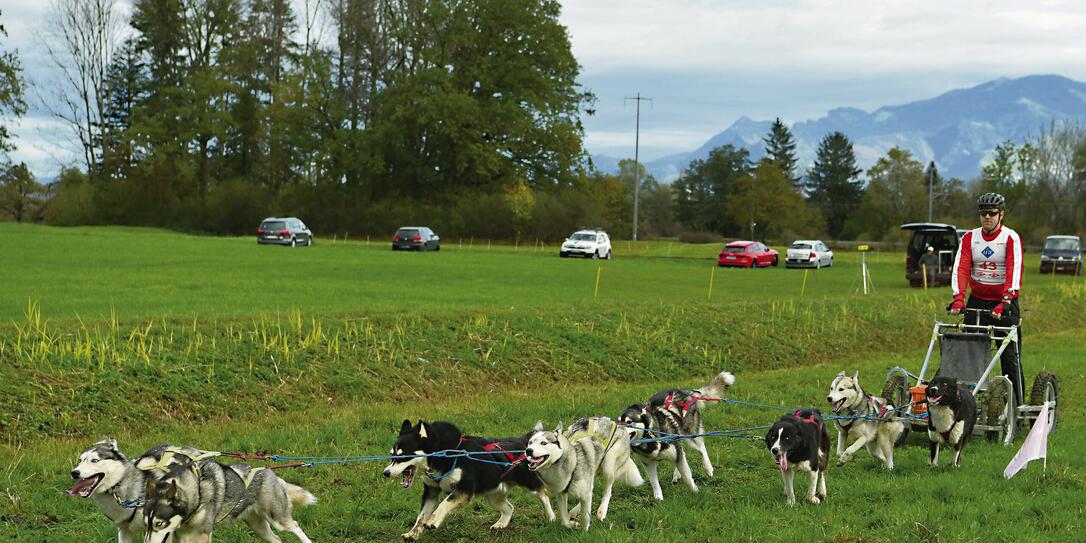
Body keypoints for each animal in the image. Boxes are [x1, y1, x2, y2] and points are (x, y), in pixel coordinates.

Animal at [70, 438, 211, 540]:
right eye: (80, 460)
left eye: (94, 460)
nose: (74, 473)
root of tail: (193, 450)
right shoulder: (124, 530)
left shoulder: (161, 529)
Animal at [142, 456, 317, 543]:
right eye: (146, 525)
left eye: (159, 524)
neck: (196, 490)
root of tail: (270, 473)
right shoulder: (180, 536)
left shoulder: (201, 535)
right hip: (258, 527)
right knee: (277, 539)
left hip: (277, 519)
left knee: (295, 526)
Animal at [382, 421, 551, 540]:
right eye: (392, 455)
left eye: (403, 456)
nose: (386, 473)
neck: (443, 455)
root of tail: (524, 442)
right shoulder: (431, 491)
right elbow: (421, 516)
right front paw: (413, 533)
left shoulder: (464, 490)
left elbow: (444, 504)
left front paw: (433, 521)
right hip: (493, 495)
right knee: (509, 507)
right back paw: (501, 524)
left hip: (529, 484)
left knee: (544, 494)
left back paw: (551, 517)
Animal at [621, 369, 738, 499]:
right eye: (618, 422)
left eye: (629, 422)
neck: (650, 437)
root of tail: (687, 392)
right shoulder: (648, 462)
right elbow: (654, 482)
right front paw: (658, 498)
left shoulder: (676, 453)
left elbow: (687, 476)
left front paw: (695, 492)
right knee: (683, 453)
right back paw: (677, 474)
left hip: (691, 435)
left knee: (701, 448)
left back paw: (708, 467)